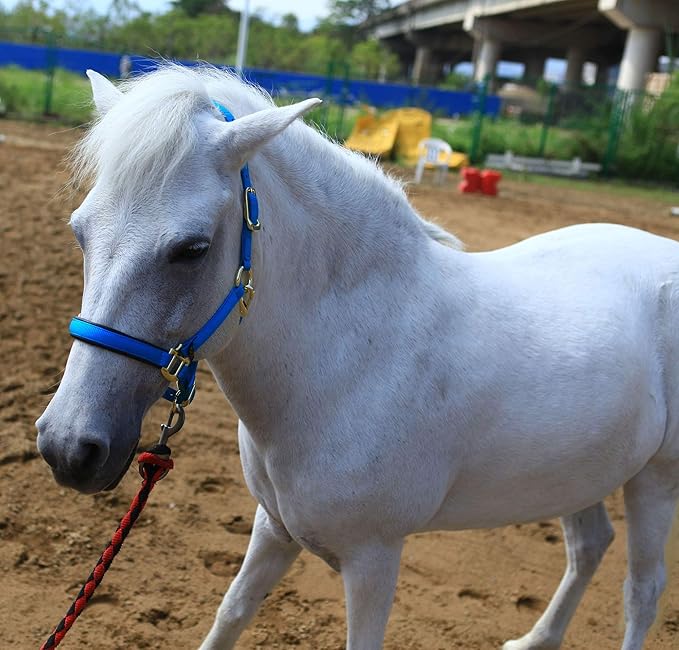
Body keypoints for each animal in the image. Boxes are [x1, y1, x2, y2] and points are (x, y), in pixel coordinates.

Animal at [36, 64, 679, 650]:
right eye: (79, 231)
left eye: (192, 249)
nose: (68, 447)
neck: (350, 359)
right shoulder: (274, 528)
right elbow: (231, 614)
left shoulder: (374, 558)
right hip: (583, 472)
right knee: (589, 548)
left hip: (653, 480)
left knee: (642, 592)